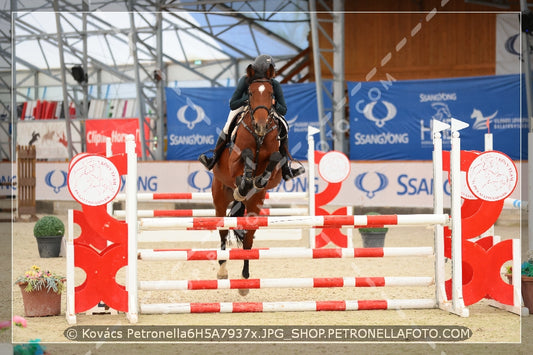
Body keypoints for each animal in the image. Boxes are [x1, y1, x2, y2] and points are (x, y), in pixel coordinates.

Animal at [210, 64, 282, 298]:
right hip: (219, 197)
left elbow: (274, 159)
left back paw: (244, 281)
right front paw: (243, 184)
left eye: (271, 94)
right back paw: (222, 271)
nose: (260, 126)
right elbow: (246, 156)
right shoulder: (234, 162)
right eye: (249, 94)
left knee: (249, 239)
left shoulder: (276, 168)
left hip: (255, 206)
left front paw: (258, 180)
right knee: (223, 231)